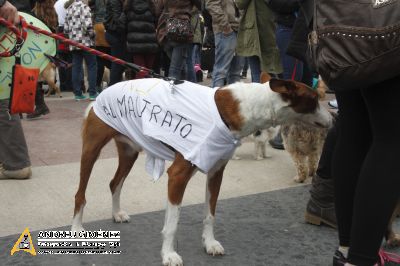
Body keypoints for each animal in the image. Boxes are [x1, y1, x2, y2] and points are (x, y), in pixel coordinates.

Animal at [71, 72, 332, 266]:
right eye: (314, 100)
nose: (332, 119)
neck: (244, 108)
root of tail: (101, 95)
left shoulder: (216, 173)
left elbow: (209, 215)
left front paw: (210, 243)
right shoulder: (177, 176)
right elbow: (172, 223)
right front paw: (169, 254)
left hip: (129, 151)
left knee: (114, 183)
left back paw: (116, 213)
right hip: (91, 151)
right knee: (80, 194)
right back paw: (76, 228)